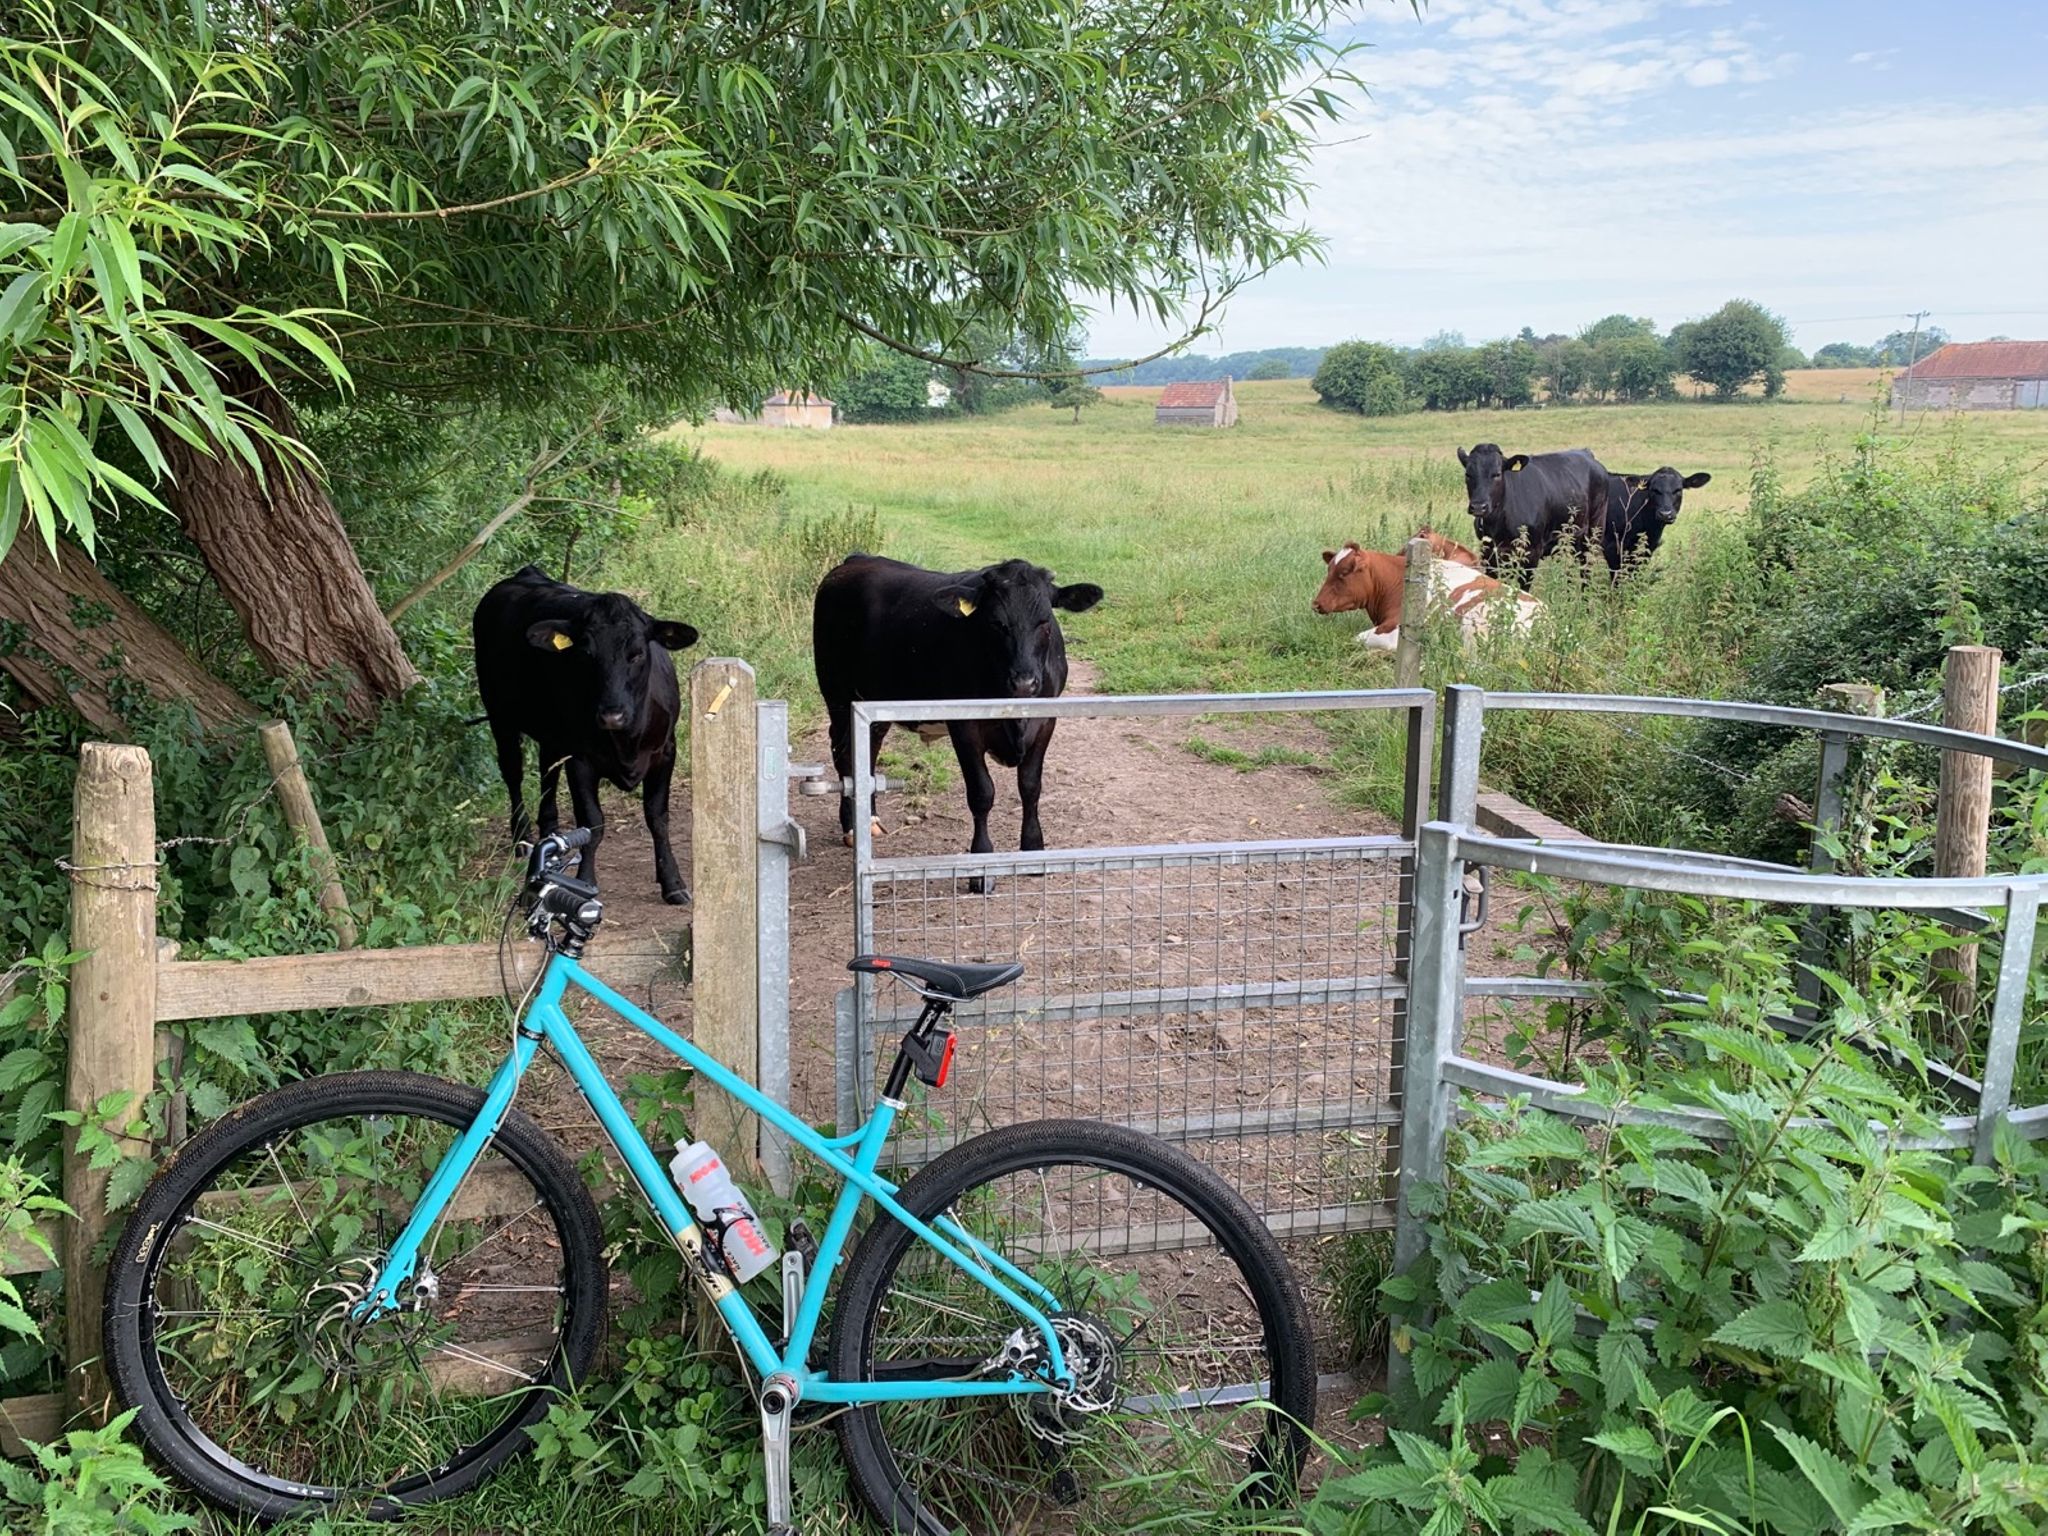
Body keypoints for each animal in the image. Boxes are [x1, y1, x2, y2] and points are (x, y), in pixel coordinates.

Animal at [473, 566, 699, 904]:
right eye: (587, 654)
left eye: (636, 654)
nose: (611, 714)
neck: (627, 741)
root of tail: (525, 573)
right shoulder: (580, 759)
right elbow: (592, 824)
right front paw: (585, 882)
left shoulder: (665, 752)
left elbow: (658, 818)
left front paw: (673, 883)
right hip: (500, 714)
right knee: (513, 771)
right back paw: (522, 836)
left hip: (551, 732)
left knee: (547, 771)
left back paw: (550, 831)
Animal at [813, 555, 1103, 878]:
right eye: (996, 623)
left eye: (1045, 621)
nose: (1025, 683)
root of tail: (856, 560)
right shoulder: (965, 726)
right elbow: (981, 793)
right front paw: (981, 864)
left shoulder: (1046, 721)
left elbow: (1030, 786)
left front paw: (1033, 849)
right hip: (837, 695)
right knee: (843, 753)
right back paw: (852, 827)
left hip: (875, 700)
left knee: (869, 749)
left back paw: (871, 819)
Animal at [1456, 444, 1610, 588]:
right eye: (1467, 474)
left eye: (1497, 474)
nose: (1478, 506)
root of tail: (1586, 453)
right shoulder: (1488, 552)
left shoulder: (1532, 553)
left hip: (1594, 533)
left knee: (1586, 570)